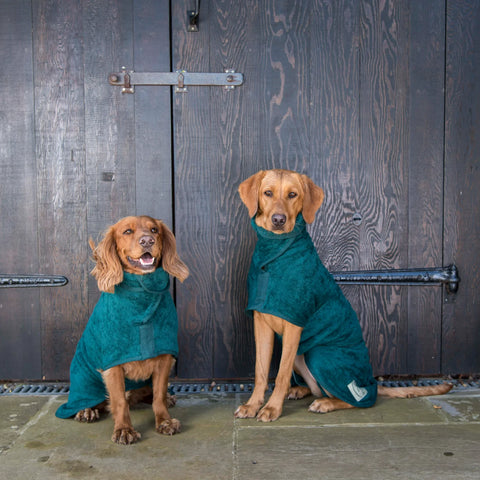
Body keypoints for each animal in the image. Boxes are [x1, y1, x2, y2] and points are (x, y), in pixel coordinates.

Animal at [56, 216, 189, 444]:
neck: (142, 291)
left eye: (154, 230)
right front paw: (124, 430)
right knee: (89, 400)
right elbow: (119, 401)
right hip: (84, 376)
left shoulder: (164, 358)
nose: (147, 241)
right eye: (127, 231)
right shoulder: (113, 363)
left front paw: (164, 421)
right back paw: (86, 410)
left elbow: (159, 396)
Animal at [234, 171, 452, 422]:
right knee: (315, 387)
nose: (278, 219)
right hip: (302, 354)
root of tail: (370, 380)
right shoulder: (261, 322)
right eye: (267, 193)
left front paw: (272, 408)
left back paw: (326, 403)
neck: (275, 251)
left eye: (292, 194)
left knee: (359, 398)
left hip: (320, 355)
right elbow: (260, 371)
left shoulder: (294, 325)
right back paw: (299, 390)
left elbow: (280, 374)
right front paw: (253, 405)